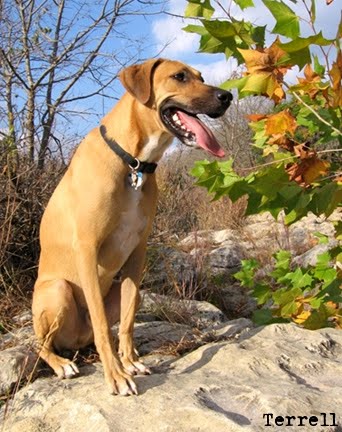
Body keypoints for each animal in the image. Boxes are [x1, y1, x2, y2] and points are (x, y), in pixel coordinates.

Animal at [32, 59, 232, 396]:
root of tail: (76, 340)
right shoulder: (87, 248)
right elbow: (102, 325)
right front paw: (116, 375)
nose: (227, 97)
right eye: (179, 76)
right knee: (42, 345)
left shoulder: (137, 252)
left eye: (201, 76)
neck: (132, 162)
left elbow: (126, 321)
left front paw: (130, 361)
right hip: (57, 290)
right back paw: (62, 363)